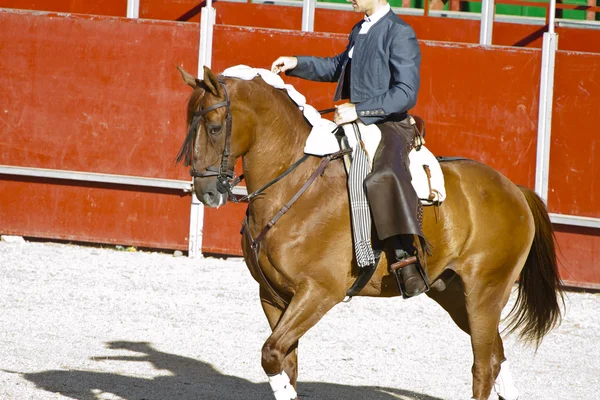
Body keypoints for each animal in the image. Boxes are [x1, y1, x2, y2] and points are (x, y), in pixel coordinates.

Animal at [176, 66, 564, 400]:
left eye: (214, 126)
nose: (205, 192)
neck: (294, 185)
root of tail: (514, 189)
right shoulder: (272, 295)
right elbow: (286, 364)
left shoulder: (319, 293)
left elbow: (271, 354)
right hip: (454, 294)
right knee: (497, 356)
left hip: (485, 292)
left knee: (484, 365)